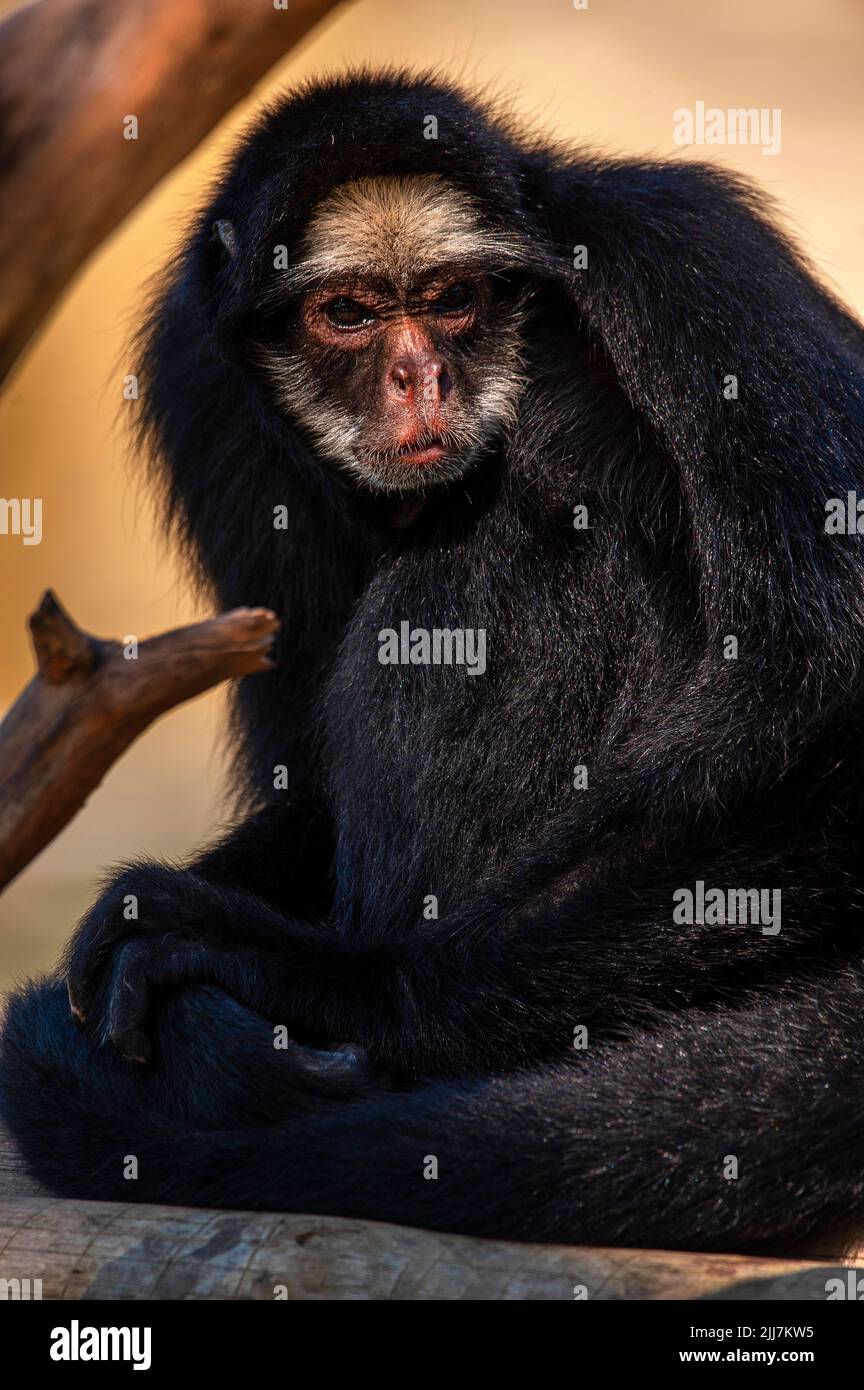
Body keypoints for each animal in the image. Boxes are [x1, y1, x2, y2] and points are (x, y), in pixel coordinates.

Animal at [3, 68, 864, 1255]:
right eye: (350, 314)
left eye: (452, 297)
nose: (418, 376)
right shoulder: (198, 377)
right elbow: (307, 790)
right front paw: (209, 1020)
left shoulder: (688, 256)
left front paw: (332, 983)